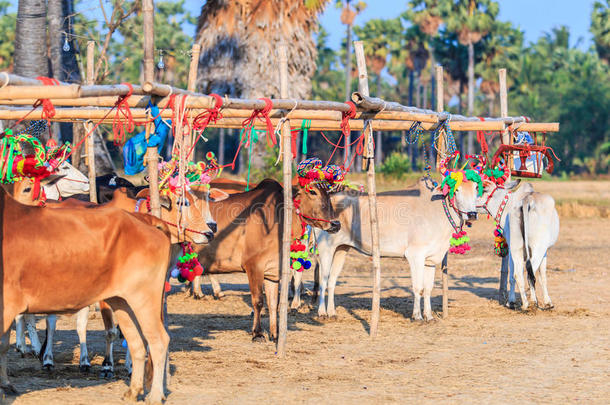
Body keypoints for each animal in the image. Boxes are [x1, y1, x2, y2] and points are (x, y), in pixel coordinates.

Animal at [0, 185, 171, 402]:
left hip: (144, 298)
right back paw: (133, 391)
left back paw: (155, 396)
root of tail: (148, 222)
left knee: (158, 341)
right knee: (136, 342)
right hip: (122, 301)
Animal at [190, 178, 340, 340]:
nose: (336, 224)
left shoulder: (272, 271)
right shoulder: (254, 266)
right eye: (312, 191)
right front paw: (257, 333)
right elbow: (258, 301)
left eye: (329, 192)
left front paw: (275, 334)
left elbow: (273, 303)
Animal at [292, 178, 482, 320]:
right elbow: (418, 287)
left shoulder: (430, 259)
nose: (472, 214)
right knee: (323, 280)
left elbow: (428, 289)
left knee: (331, 281)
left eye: (476, 189)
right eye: (457, 191)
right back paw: (322, 312)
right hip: (326, 248)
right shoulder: (415, 255)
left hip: (341, 249)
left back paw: (332, 312)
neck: (437, 212)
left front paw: (429, 316)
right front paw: (417, 316)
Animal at [478, 181, 560, 310]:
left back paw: (525, 304)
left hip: (516, 246)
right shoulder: (545, 251)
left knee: (518, 274)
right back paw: (533, 302)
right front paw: (548, 302)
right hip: (538, 248)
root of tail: (527, 200)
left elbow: (512, 276)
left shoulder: (512, 249)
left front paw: (510, 301)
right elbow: (542, 276)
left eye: (485, 190)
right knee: (530, 272)